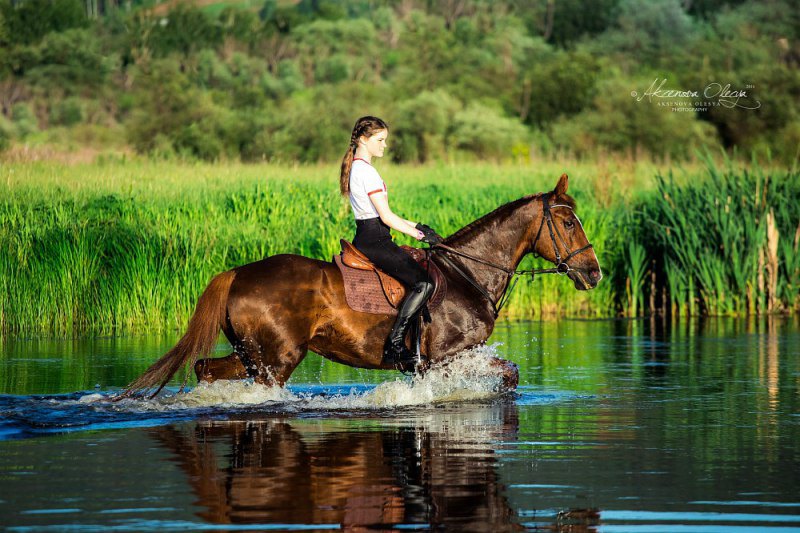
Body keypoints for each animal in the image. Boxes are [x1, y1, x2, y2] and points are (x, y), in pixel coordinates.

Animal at [122, 174, 600, 394]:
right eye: (567, 222)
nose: (593, 272)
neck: (468, 274)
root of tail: (238, 272)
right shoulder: (444, 358)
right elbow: (509, 375)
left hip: (250, 354)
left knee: (205, 368)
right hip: (276, 359)